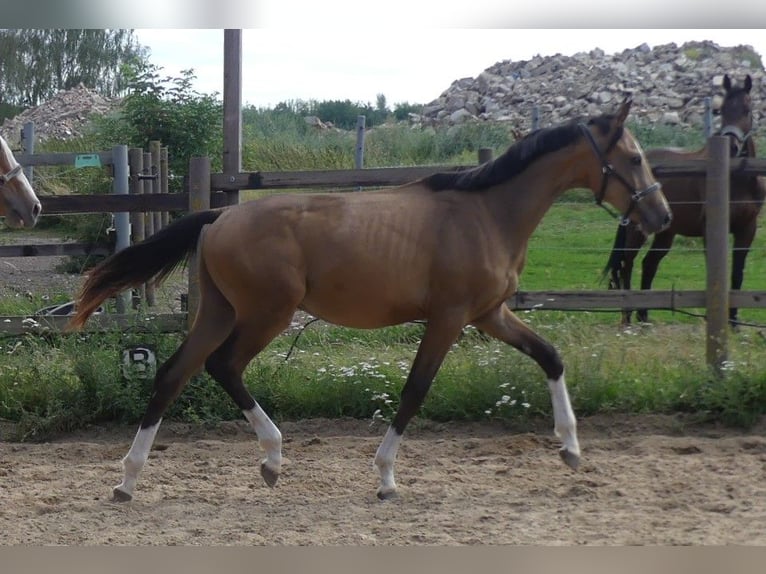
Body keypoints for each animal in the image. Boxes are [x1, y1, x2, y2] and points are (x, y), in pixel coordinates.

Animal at [69, 99, 676, 504]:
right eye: (636, 158)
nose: (661, 215)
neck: (486, 214)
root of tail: (219, 217)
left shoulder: (490, 315)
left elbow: (551, 356)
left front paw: (571, 450)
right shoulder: (450, 319)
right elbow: (414, 391)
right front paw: (385, 478)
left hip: (219, 311)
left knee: (173, 373)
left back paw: (127, 480)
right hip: (267, 313)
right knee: (224, 366)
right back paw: (272, 458)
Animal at [608, 75, 764, 326]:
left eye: (747, 109)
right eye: (721, 110)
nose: (731, 146)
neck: (737, 177)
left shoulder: (747, 229)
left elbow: (737, 273)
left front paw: (734, 322)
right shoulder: (711, 230)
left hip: (666, 233)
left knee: (648, 264)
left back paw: (644, 316)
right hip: (637, 229)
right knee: (627, 263)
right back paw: (628, 316)